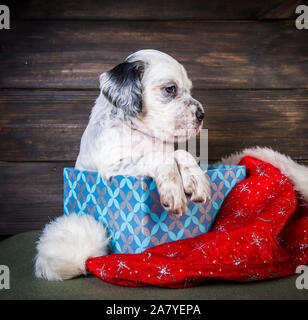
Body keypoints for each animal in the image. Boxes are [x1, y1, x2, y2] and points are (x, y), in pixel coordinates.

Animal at [35, 49, 211, 280]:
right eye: (170, 89)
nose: (202, 115)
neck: (139, 132)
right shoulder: (113, 168)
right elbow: (158, 157)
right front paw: (173, 190)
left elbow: (181, 153)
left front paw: (197, 180)